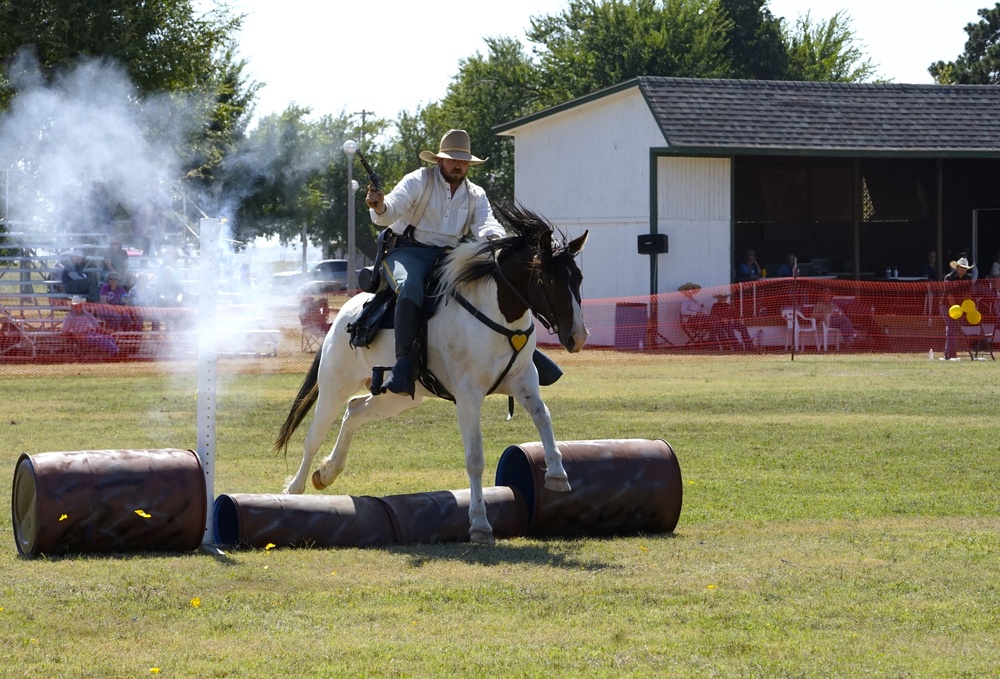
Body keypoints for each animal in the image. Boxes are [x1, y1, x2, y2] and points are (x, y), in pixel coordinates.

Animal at [274, 205, 584, 544]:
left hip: (398, 397)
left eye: (578, 278)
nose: (578, 337)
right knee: (314, 436)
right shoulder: (469, 395)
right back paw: (295, 488)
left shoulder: (524, 381)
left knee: (354, 411)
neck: (497, 315)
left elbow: (543, 416)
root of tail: (345, 314)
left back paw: (327, 472)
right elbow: (475, 458)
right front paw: (479, 523)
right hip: (334, 385)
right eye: (548, 279)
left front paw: (557, 474)